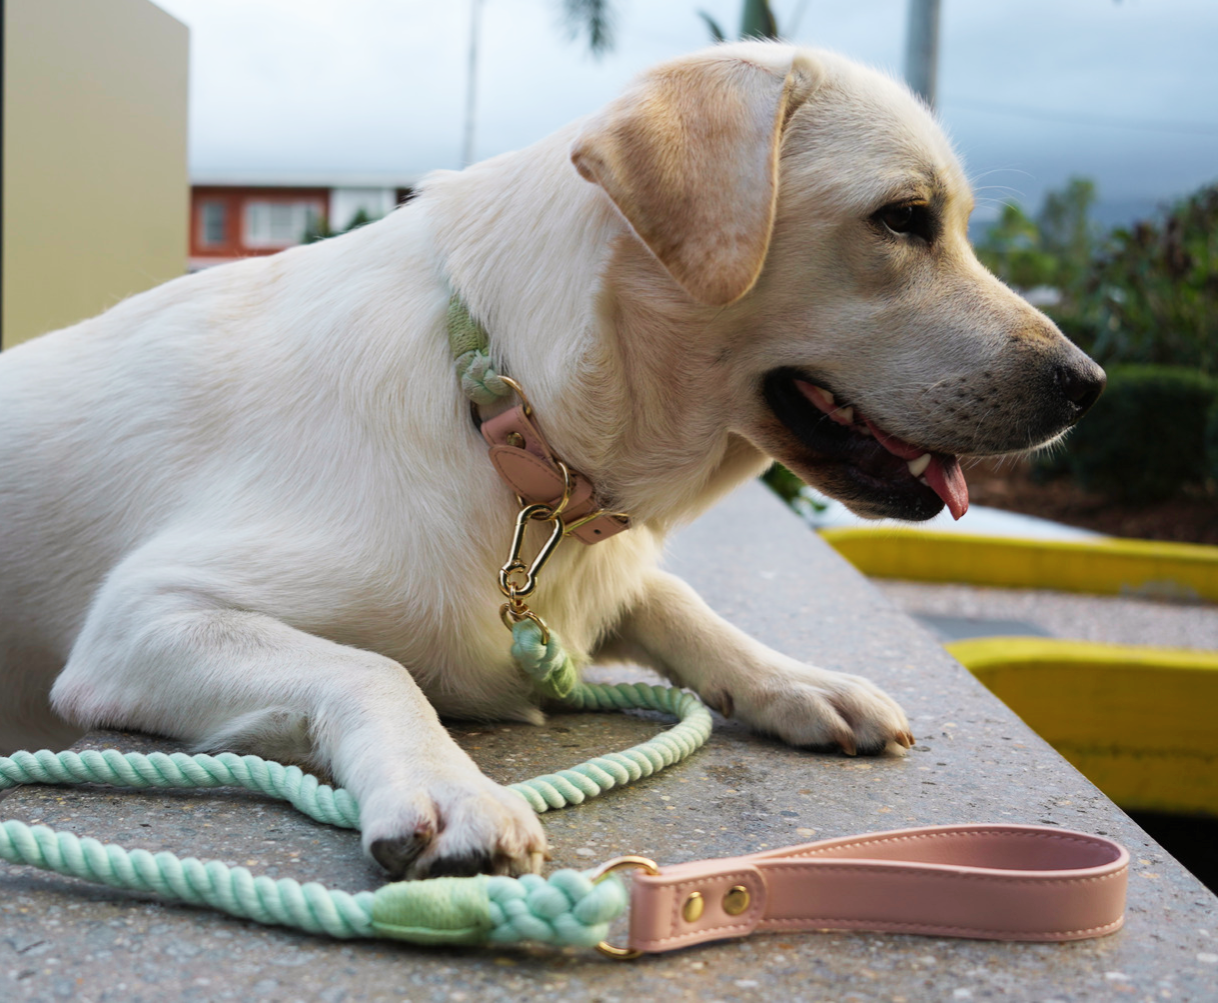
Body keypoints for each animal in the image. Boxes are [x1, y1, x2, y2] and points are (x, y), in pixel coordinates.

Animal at [0, 43, 1105, 877]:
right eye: (905, 217)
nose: (1088, 384)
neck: (498, 408)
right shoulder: (141, 618)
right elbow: (369, 665)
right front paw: (448, 783)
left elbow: (674, 599)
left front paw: (790, 678)